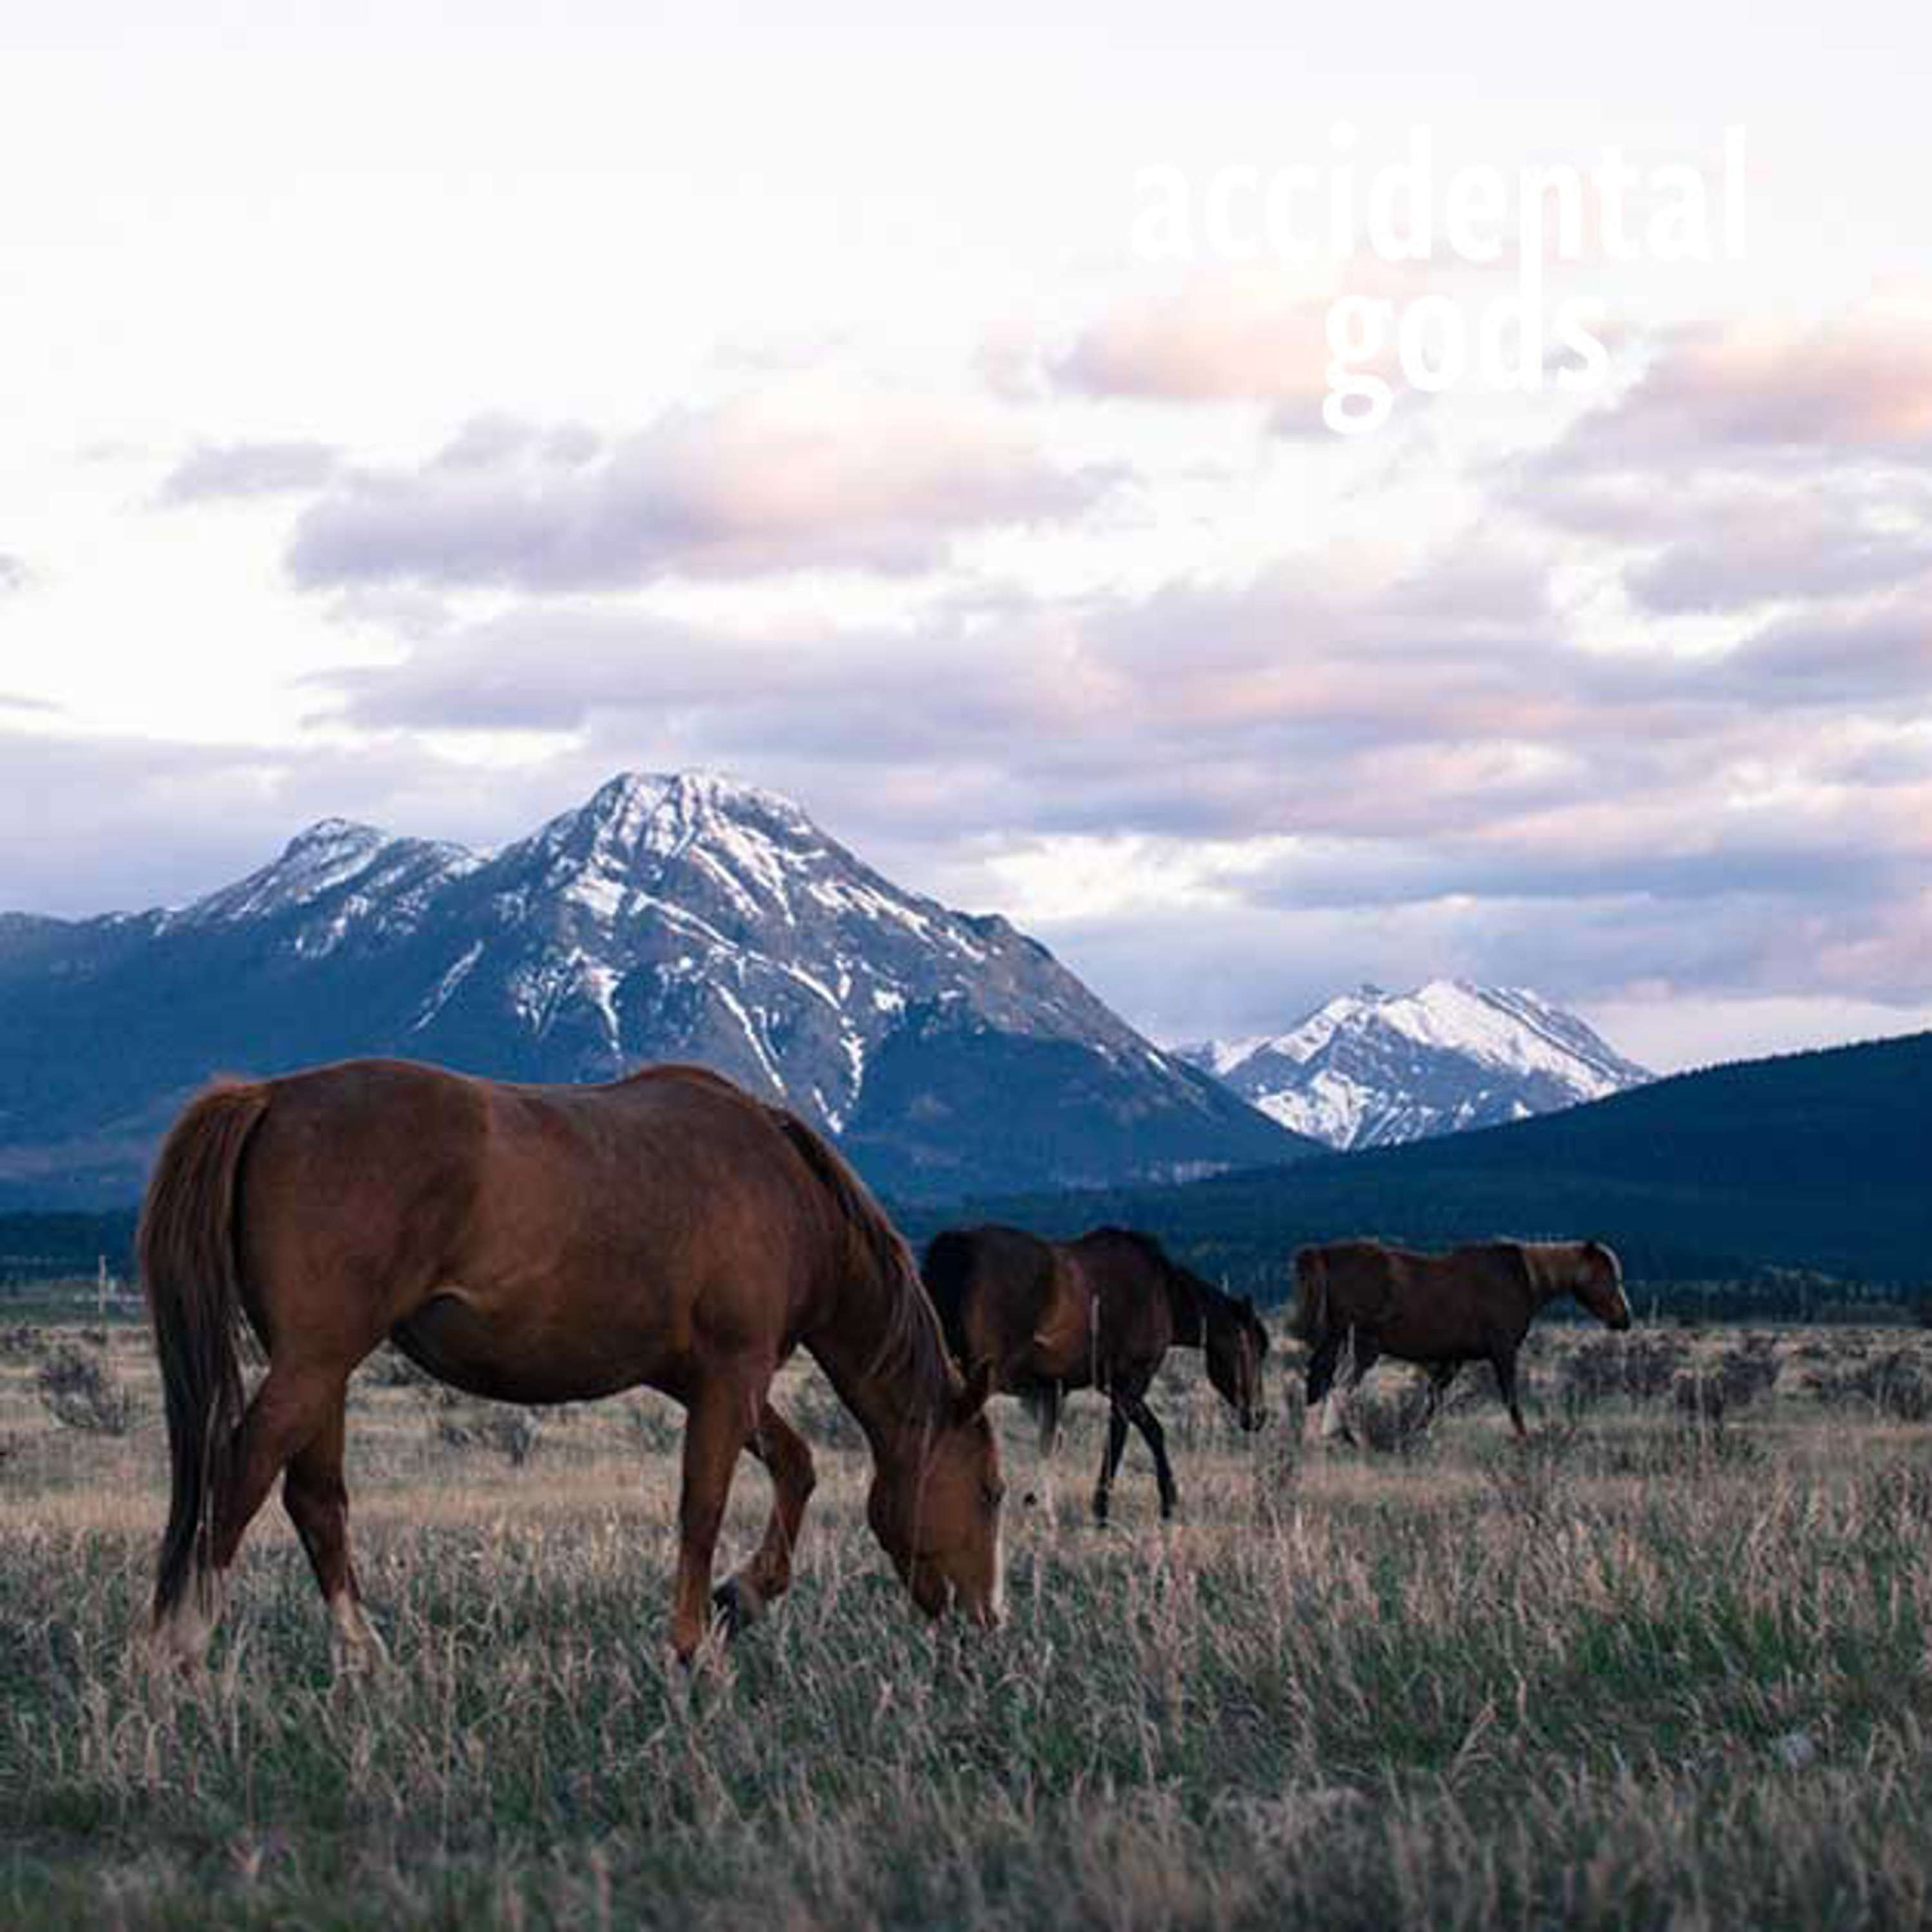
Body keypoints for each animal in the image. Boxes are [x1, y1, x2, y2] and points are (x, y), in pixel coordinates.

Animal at [141, 1051, 1005, 1669]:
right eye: (993, 1493)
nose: (988, 1622)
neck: (791, 1199)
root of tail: (269, 1097)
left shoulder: (710, 1382)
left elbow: (795, 1467)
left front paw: (744, 1598)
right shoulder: (733, 1375)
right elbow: (703, 1506)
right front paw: (693, 1647)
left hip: (323, 1370)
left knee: (315, 1501)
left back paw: (365, 1659)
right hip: (316, 1363)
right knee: (240, 1476)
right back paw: (179, 1654)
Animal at [920, 1221, 1267, 1522]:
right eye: (1248, 1350)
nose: (1258, 1416)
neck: (1162, 1291)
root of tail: (954, 1247)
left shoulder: (1098, 1387)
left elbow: (1133, 1433)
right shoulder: (1130, 1382)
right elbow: (1130, 1435)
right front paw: (1108, 1506)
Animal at [1298, 1229, 1631, 1445]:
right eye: (1608, 1277)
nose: (1625, 1318)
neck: (1525, 1277)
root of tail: (1324, 1254)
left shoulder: (1454, 1358)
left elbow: (1433, 1399)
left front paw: (1416, 1436)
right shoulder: (1503, 1351)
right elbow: (1510, 1397)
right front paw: (1524, 1438)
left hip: (1338, 1341)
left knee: (1320, 1380)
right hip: (1361, 1346)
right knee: (1338, 1385)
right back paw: (1342, 1436)